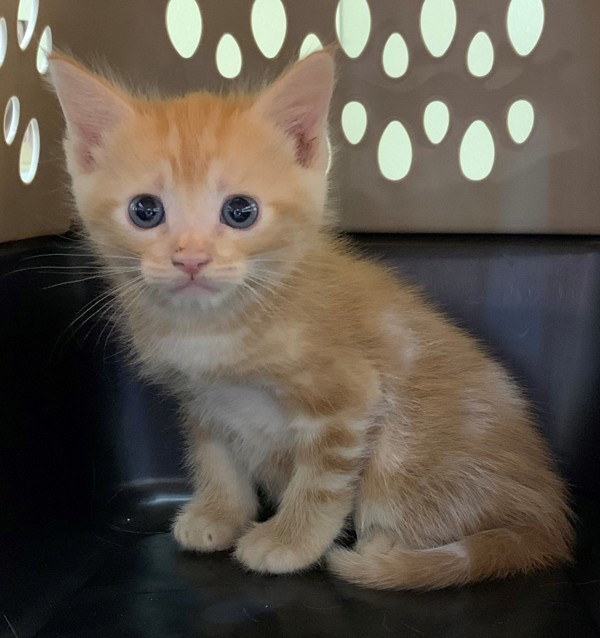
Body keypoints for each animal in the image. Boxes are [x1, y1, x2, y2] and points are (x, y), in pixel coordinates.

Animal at [48, 51, 572, 596]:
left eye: (241, 210)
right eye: (145, 210)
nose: (190, 259)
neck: (213, 330)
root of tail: (549, 525)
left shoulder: (349, 400)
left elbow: (320, 482)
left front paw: (290, 541)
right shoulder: (201, 401)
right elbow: (215, 459)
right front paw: (219, 513)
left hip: (407, 453)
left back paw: (386, 547)